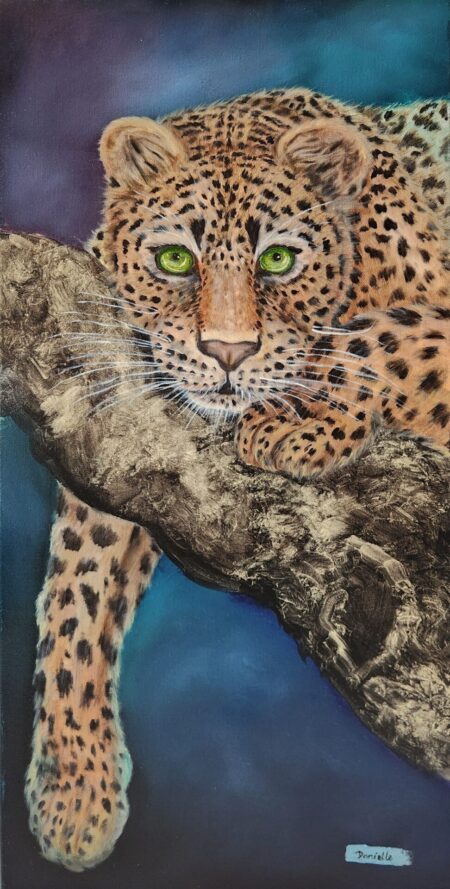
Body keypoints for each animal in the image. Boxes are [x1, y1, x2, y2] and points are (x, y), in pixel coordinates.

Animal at [25, 88, 449, 870]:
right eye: (174, 259)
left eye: (278, 259)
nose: (226, 353)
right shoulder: (109, 416)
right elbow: (76, 587)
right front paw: (74, 794)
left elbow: (383, 338)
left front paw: (295, 421)